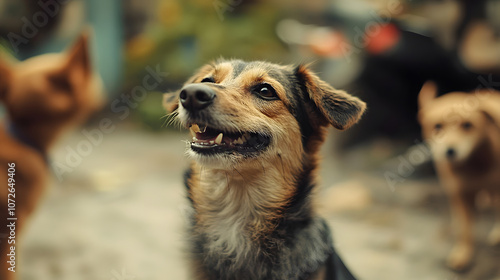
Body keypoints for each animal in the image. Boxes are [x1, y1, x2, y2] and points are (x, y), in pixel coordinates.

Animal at [418, 81, 500, 272]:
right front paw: (463, 254)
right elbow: (465, 229)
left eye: (468, 125)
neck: (473, 165)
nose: (450, 151)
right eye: (437, 127)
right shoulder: (460, 194)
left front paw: (498, 234)